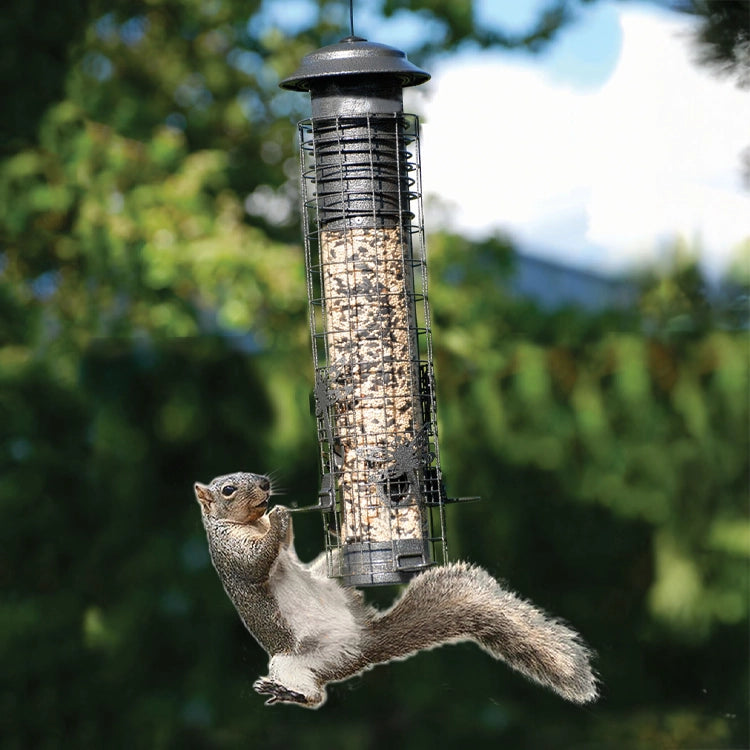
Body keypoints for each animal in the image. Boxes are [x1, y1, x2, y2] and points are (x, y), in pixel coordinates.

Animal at [194, 471, 598, 709]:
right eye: (228, 490)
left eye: (254, 475)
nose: (265, 484)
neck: (250, 524)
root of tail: (362, 645)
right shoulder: (230, 554)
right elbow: (257, 562)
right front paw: (279, 514)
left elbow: (286, 548)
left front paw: (283, 514)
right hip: (291, 662)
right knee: (313, 695)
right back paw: (287, 692)